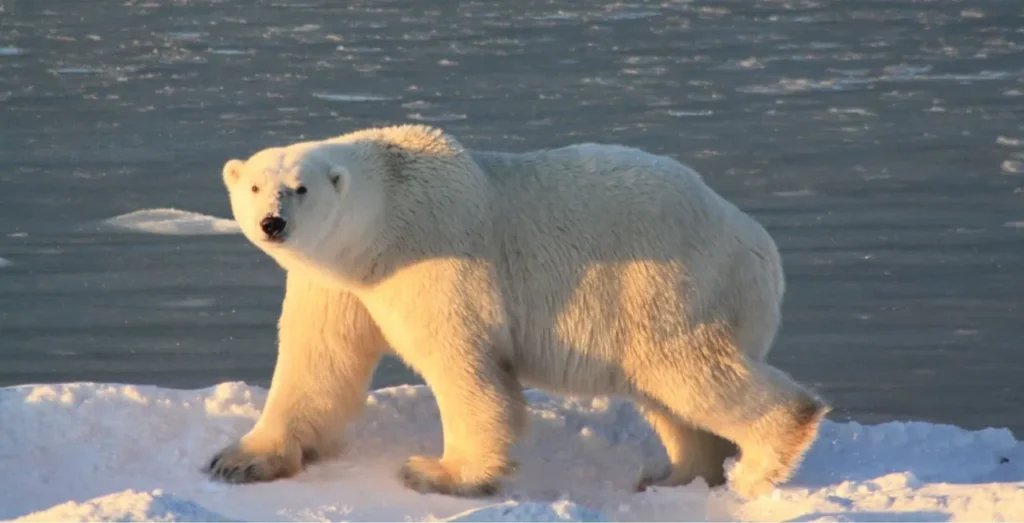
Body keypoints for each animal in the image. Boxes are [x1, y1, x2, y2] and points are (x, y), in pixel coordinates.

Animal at [205, 124, 830, 499]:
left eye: (301, 188)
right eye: (255, 185)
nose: (273, 223)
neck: (384, 215)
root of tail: (756, 241)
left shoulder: (437, 256)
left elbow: (463, 361)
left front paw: (439, 472)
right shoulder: (335, 282)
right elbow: (317, 361)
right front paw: (239, 459)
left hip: (669, 284)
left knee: (691, 370)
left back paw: (759, 466)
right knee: (672, 395)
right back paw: (673, 474)